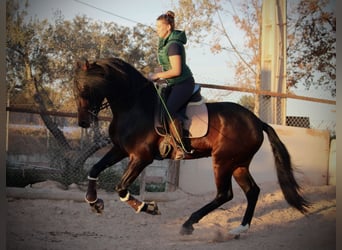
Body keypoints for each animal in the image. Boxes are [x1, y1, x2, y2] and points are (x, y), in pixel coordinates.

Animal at [73, 56, 308, 236]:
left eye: (85, 87)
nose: (83, 122)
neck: (134, 105)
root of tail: (257, 121)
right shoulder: (121, 150)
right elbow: (95, 168)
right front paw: (94, 202)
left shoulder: (141, 157)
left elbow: (121, 188)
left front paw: (149, 207)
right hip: (239, 164)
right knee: (252, 191)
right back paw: (239, 229)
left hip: (223, 162)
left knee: (225, 194)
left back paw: (188, 223)